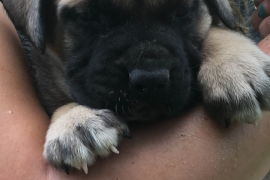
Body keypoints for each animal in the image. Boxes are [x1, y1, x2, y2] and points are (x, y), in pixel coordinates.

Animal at [0, 0, 270, 175]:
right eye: (87, 16)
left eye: (183, 12)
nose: (150, 80)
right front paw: (75, 120)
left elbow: (214, 27)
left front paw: (235, 63)